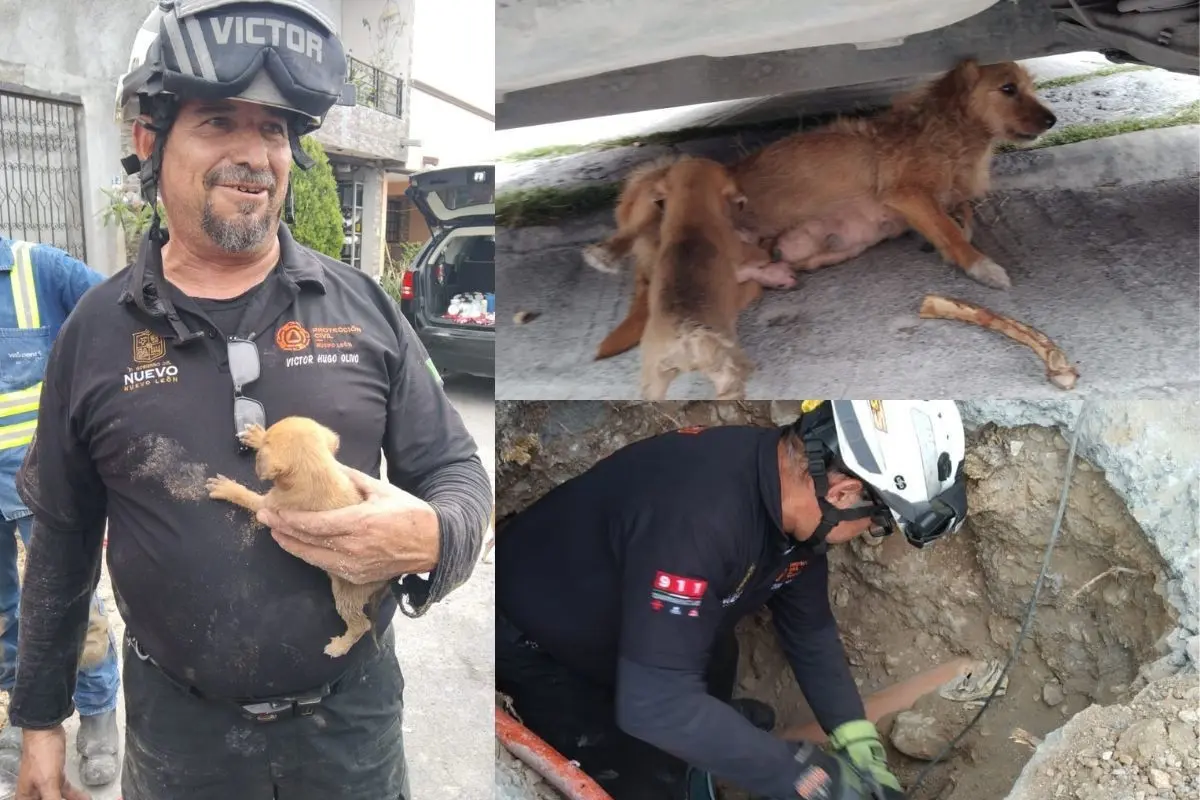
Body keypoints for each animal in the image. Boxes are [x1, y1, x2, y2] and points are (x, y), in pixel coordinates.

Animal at [206, 419, 388, 657]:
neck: (317, 471)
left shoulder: (269, 505)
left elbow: (247, 496)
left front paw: (228, 488)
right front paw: (257, 435)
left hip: (347, 592)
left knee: (361, 625)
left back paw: (339, 646)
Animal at [729, 60, 1060, 291]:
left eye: (1031, 87)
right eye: (1008, 88)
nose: (1052, 120)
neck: (955, 136)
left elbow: (962, 216)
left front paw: (955, 224)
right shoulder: (906, 193)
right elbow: (949, 230)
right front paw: (980, 265)